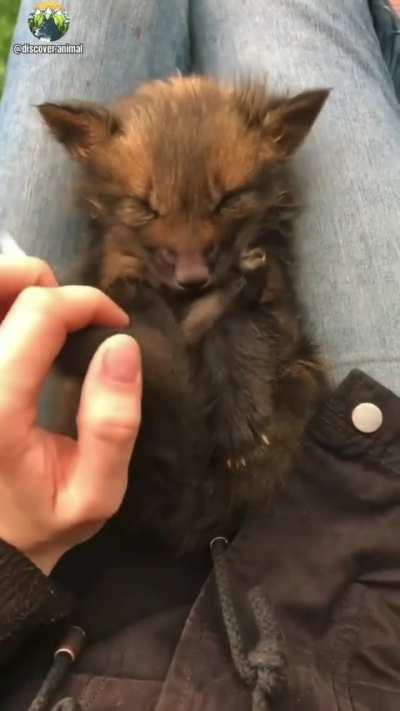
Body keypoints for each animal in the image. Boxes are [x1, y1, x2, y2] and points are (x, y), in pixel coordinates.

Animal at [39, 76, 329, 551]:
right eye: (143, 207)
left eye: (229, 200)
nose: (194, 279)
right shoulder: (116, 286)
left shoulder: (277, 300)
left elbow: (242, 328)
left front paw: (241, 417)